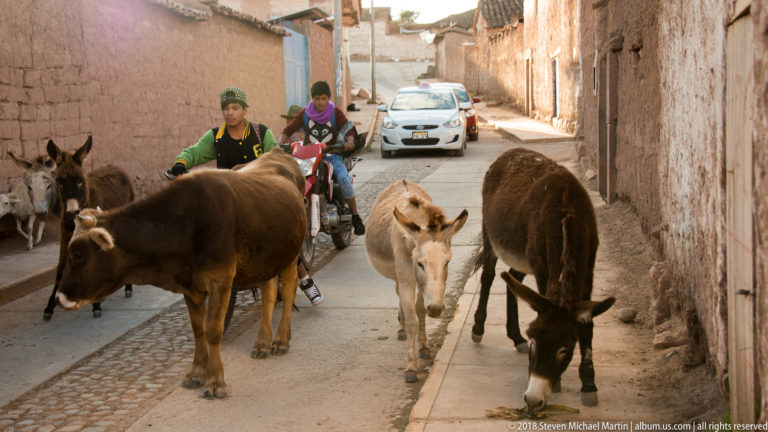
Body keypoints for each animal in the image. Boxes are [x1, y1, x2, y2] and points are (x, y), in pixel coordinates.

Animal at [44, 136, 135, 320]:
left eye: (79, 180)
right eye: (60, 181)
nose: (73, 211)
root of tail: (115, 167)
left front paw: (96, 305)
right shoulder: (65, 234)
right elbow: (61, 268)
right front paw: (49, 307)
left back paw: (127, 287)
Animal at [55, 147, 307, 399]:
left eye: (77, 254)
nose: (59, 297)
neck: (185, 221)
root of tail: (277, 153)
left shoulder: (221, 280)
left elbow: (212, 329)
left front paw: (216, 381)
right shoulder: (190, 285)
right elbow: (198, 329)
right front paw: (196, 373)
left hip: (291, 254)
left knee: (289, 290)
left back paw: (281, 340)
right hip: (268, 257)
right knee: (269, 294)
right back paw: (262, 343)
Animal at [366, 180, 468, 383]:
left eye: (447, 262)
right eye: (420, 263)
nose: (436, 308)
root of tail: (402, 181)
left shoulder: (422, 286)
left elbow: (420, 312)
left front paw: (424, 347)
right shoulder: (407, 279)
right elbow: (413, 321)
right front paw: (411, 367)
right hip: (399, 274)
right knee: (398, 293)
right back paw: (402, 327)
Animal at [471, 148, 615, 414]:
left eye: (564, 349)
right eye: (534, 342)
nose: (532, 400)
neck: (566, 215)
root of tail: (510, 152)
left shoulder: (588, 268)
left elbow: (587, 325)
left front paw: (589, 384)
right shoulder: (542, 268)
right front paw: (558, 384)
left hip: (522, 256)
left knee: (512, 280)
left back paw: (515, 337)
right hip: (490, 233)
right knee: (488, 275)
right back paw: (478, 330)